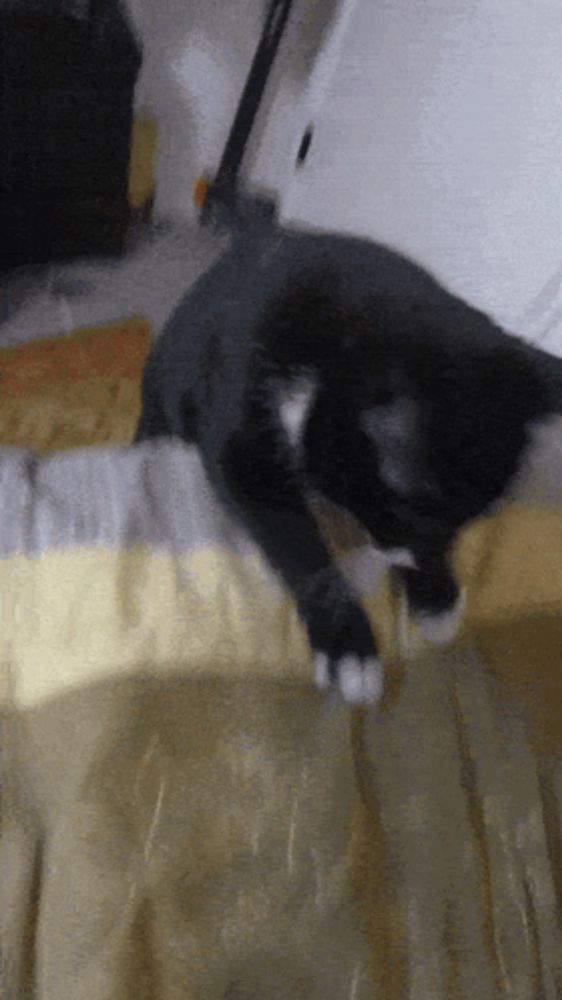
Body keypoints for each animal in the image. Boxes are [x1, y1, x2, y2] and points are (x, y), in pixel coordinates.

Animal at [136, 221, 560, 704]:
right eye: (412, 518)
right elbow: (300, 549)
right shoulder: (241, 449)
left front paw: (436, 599)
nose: (402, 555)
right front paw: (349, 650)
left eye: (459, 526)